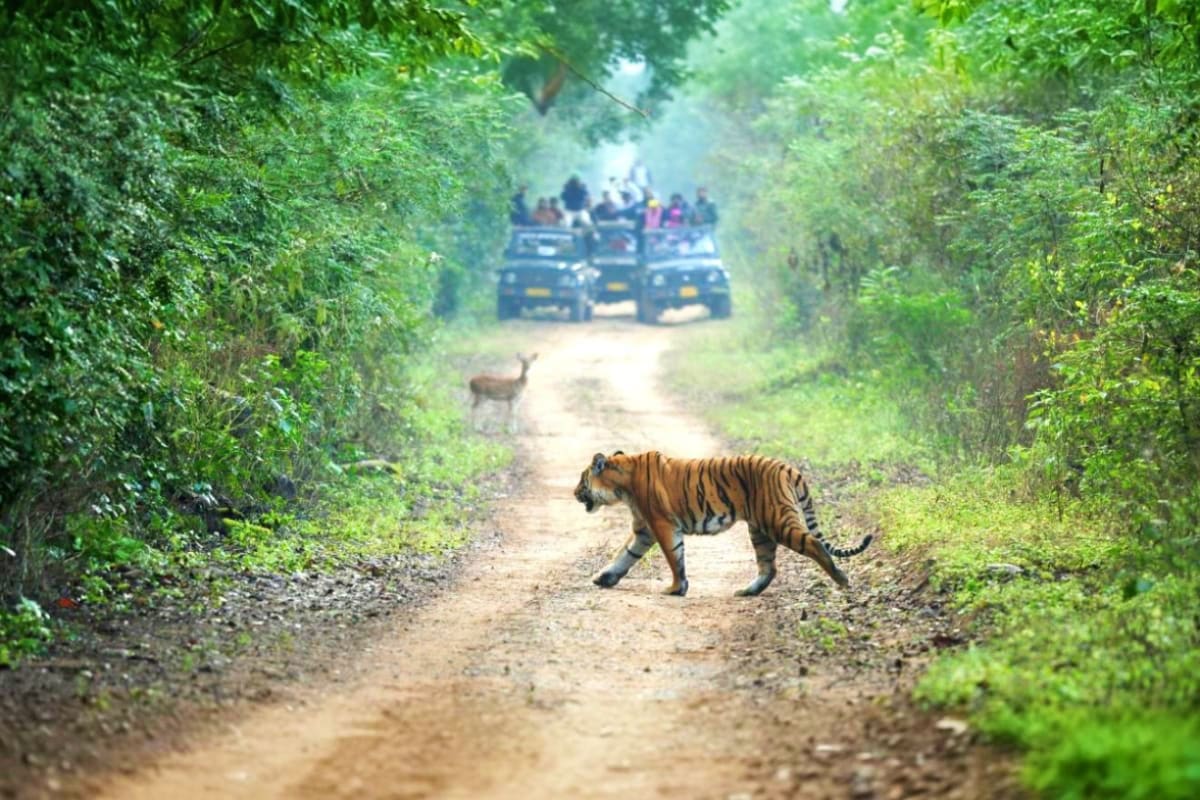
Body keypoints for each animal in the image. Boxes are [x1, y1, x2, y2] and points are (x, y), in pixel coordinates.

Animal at [574, 450, 872, 597]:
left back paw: (842, 580)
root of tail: (789, 468)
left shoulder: (662, 524)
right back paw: (747, 591)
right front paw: (604, 578)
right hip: (760, 530)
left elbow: (673, 557)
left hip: (778, 520)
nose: (574, 492)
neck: (622, 485)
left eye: (582, 479)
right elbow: (625, 555)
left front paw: (676, 588)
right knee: (769, 567)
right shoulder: (644, 529)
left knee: (813, 544)